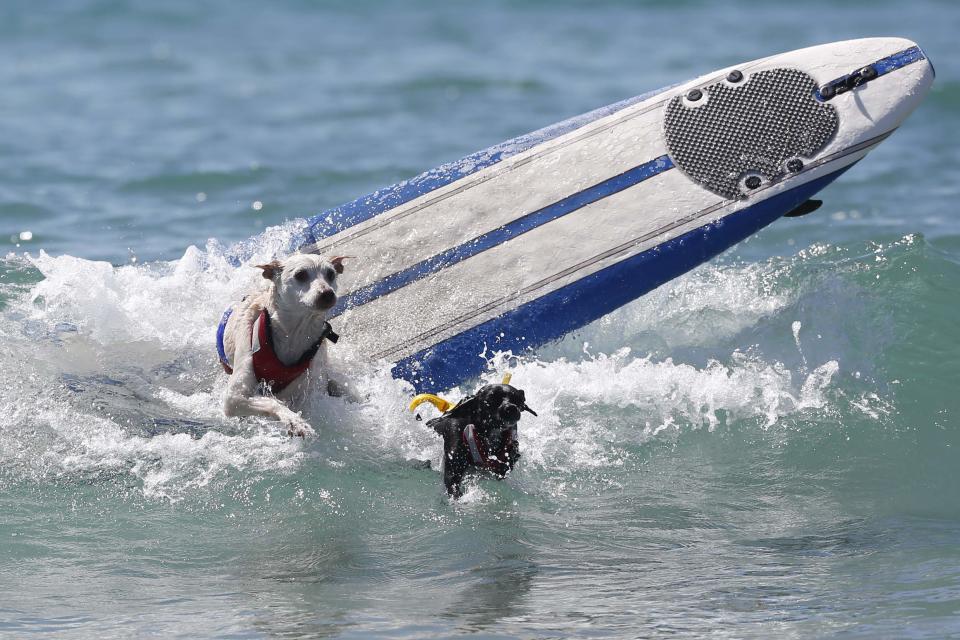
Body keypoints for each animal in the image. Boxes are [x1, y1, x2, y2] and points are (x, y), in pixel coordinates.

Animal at [217, 252, 348, 438]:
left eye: (331, 274)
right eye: (301, 275)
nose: (327, 293)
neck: (294, 334)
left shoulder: (311, 387)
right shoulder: (234, 397)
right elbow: (273, 402)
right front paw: (294, 421)